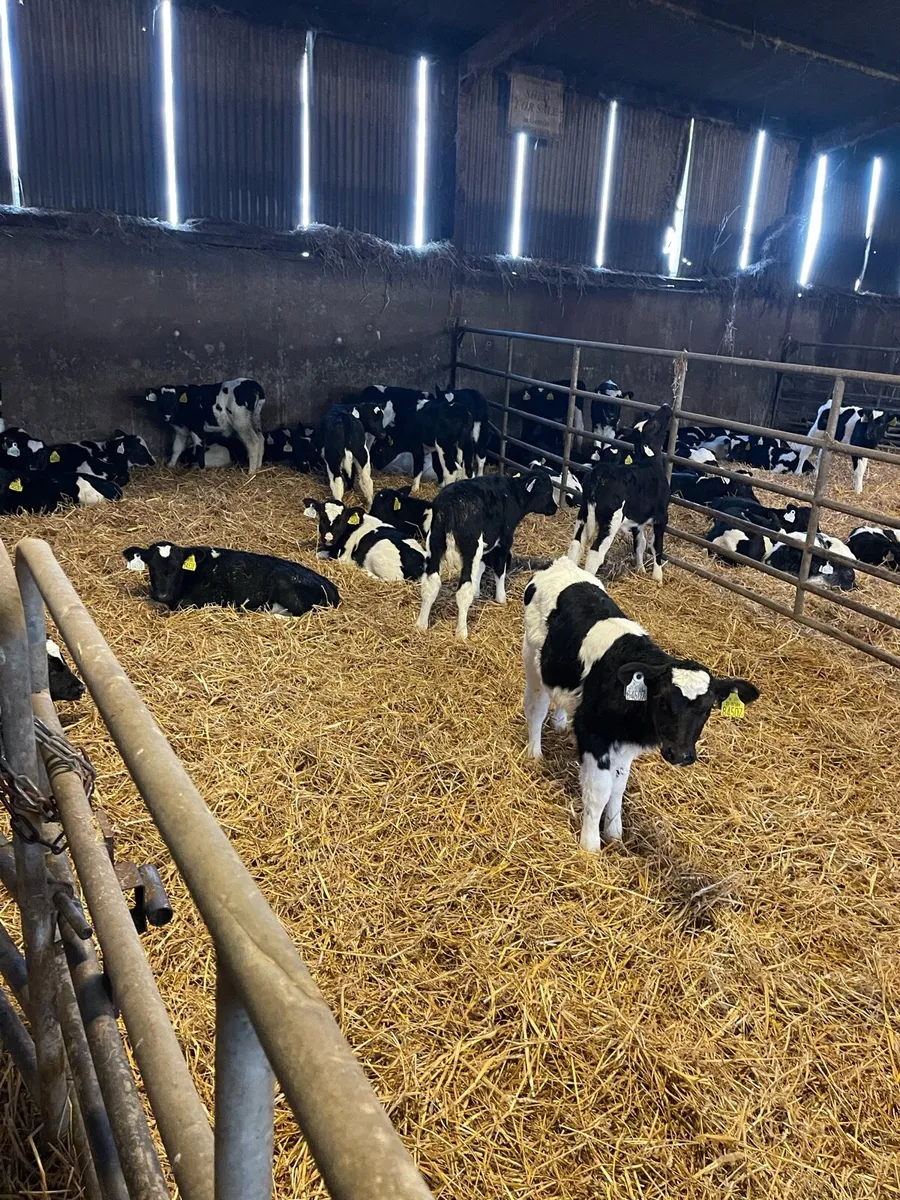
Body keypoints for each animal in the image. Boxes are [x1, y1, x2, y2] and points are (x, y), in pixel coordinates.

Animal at [122, 542, 340, 614]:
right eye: (151, 567)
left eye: (177, 568)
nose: (162, 595)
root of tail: (331, 587)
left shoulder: (216, 595)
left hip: (284, 584)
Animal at [416, 470, 557, 639]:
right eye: (548, 491)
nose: (555, 508)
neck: (513, 494)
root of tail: (451, 504)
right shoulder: (504, 541)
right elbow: (500, 569)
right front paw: (501, 598)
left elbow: (481, 567)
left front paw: (477, 592)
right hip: (470, 547)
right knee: (463, 590)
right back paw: (461, 632)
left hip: (435, 542)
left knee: (430, 584)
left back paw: (421, 624)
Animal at [522, 557, 759, 849]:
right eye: (663, 701)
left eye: (706, 710)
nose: (681, 755)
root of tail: (562, 564)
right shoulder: (593, 735)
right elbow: (599, 790)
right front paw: (590, 845)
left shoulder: (626, 746)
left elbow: (618, 786)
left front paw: (614, 832)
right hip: (532, 659)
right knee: (536, 707)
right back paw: (534, 753)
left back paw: (560, 722)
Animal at [567, 406, 672, 580]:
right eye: (654, 424)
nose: (666, 407)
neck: (648, 463)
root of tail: (601, 471)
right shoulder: (661, 516)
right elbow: (656, 545)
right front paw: (658, 577)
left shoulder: (638, 519)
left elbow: (640, 543)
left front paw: (640, 569)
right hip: (611, 520)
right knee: (595, 552)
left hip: (583, 514)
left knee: (576, 544)